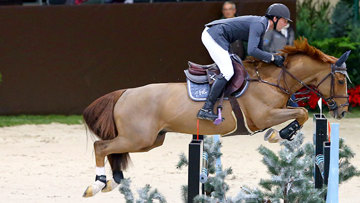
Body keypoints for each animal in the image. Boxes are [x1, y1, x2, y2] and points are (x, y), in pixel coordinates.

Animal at [82, 38, 352, 197]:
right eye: (340, 80)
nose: (343, 110)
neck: (274, 80)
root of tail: (125, 93)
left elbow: (300, 111)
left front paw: (283, 133)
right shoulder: (263, 117)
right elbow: (302, 112)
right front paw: (280, 134)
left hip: (150, 140)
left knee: (114, 151)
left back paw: (114, 180)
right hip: (138, 138)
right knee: (101, 146)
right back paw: (97, 183)